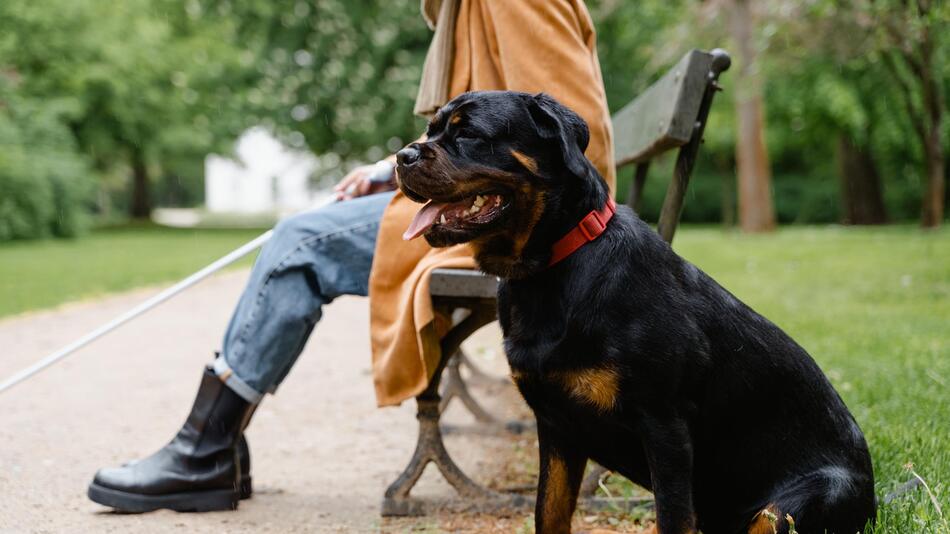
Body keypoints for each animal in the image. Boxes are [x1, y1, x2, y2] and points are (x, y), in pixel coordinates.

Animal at [396, 90, 876, 532]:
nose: (403, 155)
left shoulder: (664, 427)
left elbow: (671, 519)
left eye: (470, 134)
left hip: (796, 504)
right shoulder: (556, 428)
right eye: (430, 130)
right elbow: (548, 513)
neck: (550, 269)